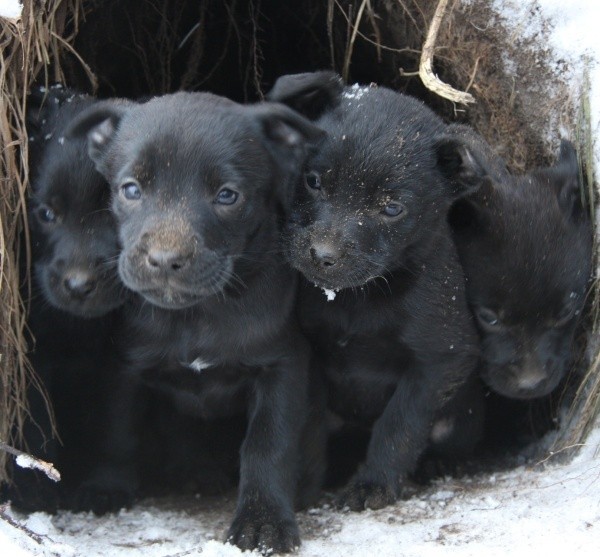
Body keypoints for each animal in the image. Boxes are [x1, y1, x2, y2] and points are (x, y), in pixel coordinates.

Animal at [70, 91, 328, 552]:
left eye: (227, 196)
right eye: (130, 189)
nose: (164, 260)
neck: (198, 314)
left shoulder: (283, 366)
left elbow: (268, 443)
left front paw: (263, 520)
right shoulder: (122, 366)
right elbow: (116, 429)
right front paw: (105, 487)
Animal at [270, 71, 480, 510]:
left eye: (392, 208)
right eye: (313, 181)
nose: (323, 255)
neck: (359, 300)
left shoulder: (442, 359)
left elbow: (400, 424)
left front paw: (374, 484)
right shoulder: (308, 351)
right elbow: (309, 423)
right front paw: (304, 486)